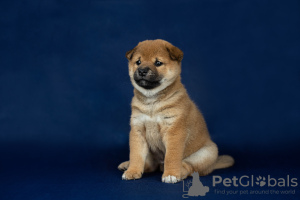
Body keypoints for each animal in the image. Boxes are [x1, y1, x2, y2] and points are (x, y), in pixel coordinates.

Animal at [118, 39, 234, 183]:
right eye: (138, 62)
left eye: (158, 63)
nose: (142, 71)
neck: (152, 102)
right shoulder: (137, 130)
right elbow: (136, 155)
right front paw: (132, 171)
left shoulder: (174, 131)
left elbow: (171, 157)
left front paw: (171, 174)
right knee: (151, 164)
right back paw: (127, 165)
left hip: (206, 153)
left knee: (189, 168)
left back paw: (180, 172)